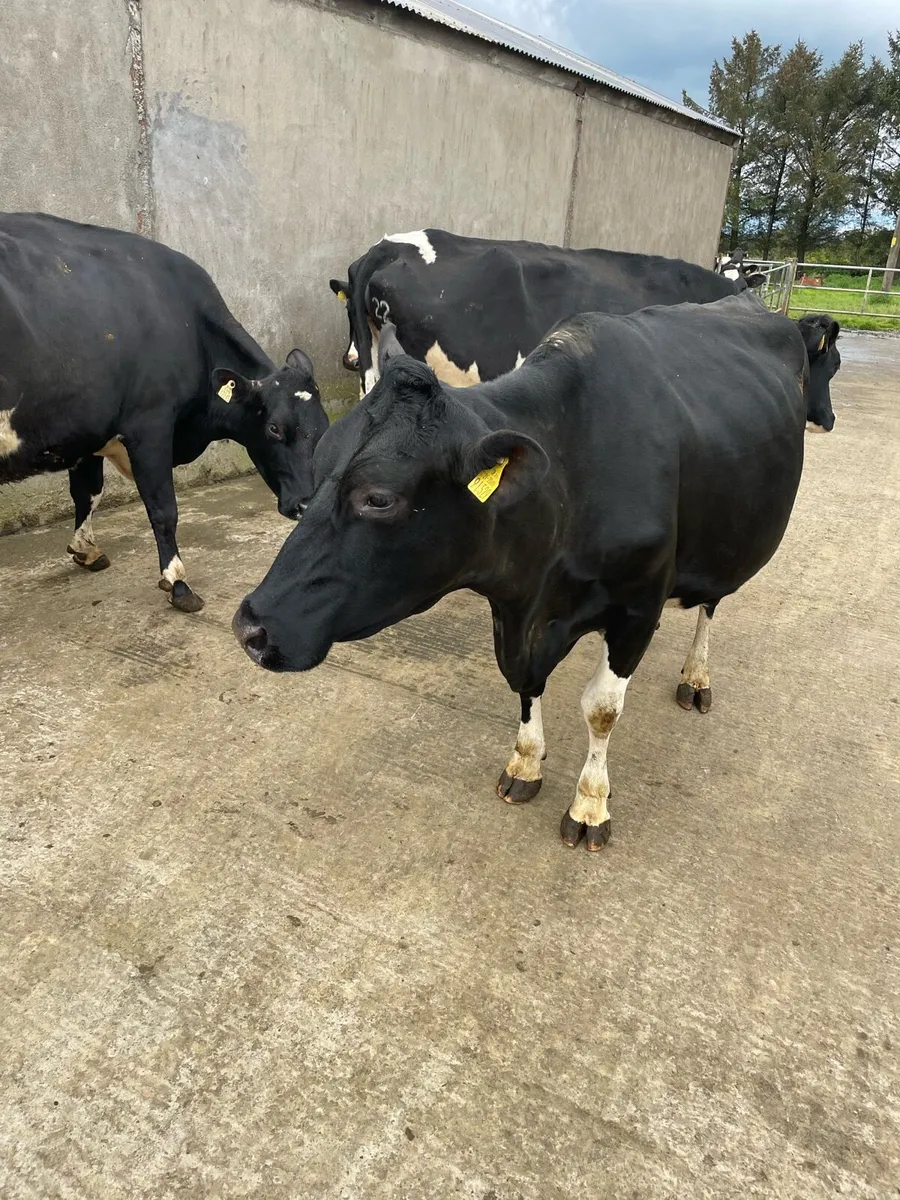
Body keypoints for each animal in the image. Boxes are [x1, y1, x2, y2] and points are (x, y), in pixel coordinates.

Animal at [0, 212, 329, 612]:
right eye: (274, 429)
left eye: (324, 426)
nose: (306, 504)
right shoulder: (150, 425)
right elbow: (163, 509)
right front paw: (178, 584)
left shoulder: (88, 427)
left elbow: (87, 491)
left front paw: (86, 550)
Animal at [233, 293, 837, 855]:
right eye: (318, 466)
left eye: (379, 498)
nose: (249, 628)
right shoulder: (515, 608)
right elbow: (524, 682)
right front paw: (525, 763)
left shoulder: (637, 604)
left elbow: (602, 709)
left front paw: (591, 803)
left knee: (709, 605)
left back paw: (696, 676)